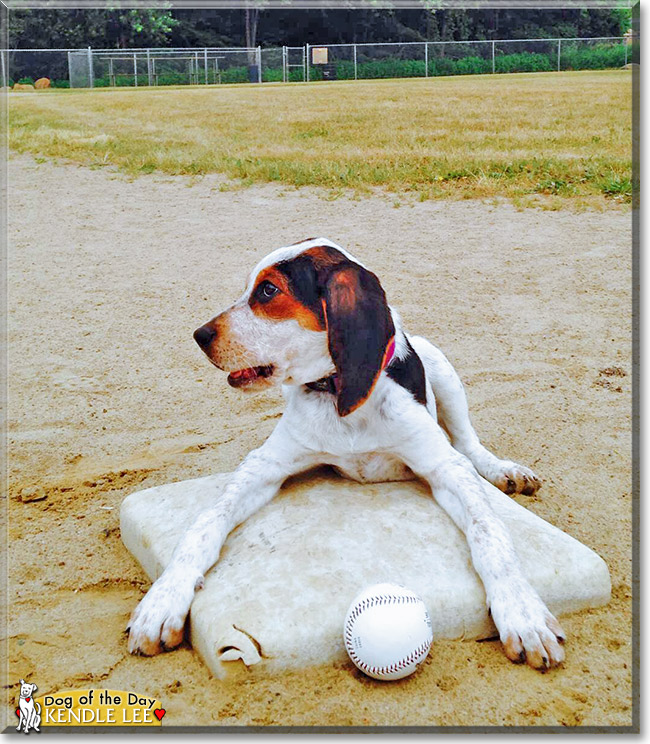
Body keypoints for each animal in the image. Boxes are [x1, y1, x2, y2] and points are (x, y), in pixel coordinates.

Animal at [125, 237, 560, 668]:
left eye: (268, 291)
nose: (199, 335)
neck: (336, 394)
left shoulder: (445, 467)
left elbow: (490, 533)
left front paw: (522, 611)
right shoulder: (265, 465)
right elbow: (205, 523)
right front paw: (164, 599)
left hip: (442, 369)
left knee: (469, 444)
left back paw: (504, 470)